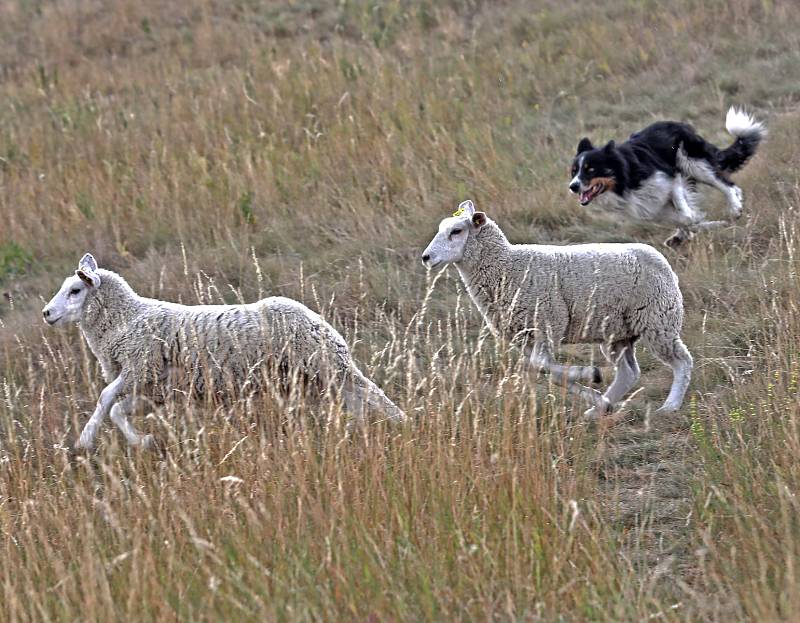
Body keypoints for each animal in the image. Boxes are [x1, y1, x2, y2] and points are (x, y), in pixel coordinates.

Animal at [42, 251, 406, 450]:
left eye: (75, 290)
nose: (46, 313)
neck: (127, 317)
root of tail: (315, 318)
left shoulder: (138, 366)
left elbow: (105, 398)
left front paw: (84, 440)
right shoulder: (156, 387)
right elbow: (118, 410)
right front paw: (142, 441)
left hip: (325, 364)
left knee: (369, 391)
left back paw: (401, 422)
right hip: (313, 375)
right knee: (355, 398)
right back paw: (366, 427)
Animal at [422, 202, 692, 422]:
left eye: (456, 231)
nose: (426, 257)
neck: (506, 266)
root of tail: (661, 260)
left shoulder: (548, 323)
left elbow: (543, 366)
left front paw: (589, 374)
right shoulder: (525, 337)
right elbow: (542, 369)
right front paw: (593, 390)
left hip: (658, 320)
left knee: (682, 361)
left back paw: (670, 406)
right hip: (618, 333)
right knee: (628, 373)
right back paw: (600, 408)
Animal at [564, 108, 764, 247]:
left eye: (590, 170)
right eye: (574, 171)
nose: (573, 187)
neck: (625, 177)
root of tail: (679, 124)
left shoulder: (669, 177)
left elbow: (685, 213)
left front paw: (699, 223)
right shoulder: (650, 208)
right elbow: (679, 218)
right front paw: (686, 232)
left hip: (692, 162)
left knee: (727, 184)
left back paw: (734, 208)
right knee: (732, 185)